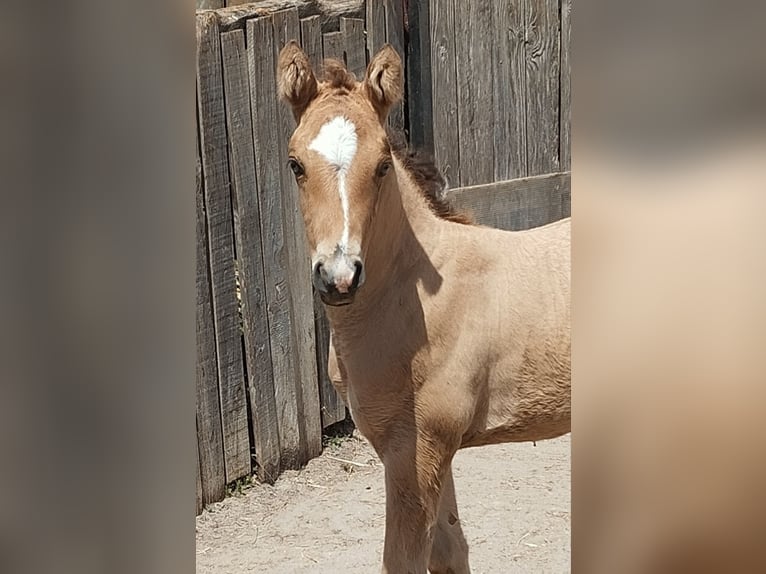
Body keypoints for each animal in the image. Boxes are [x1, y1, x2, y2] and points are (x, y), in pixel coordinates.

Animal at [277, 41, 571, 574]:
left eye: (382, 165)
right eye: (295, 164)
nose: (339, 277)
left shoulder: (417, 450)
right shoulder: (426, 450)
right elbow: (450, 551)